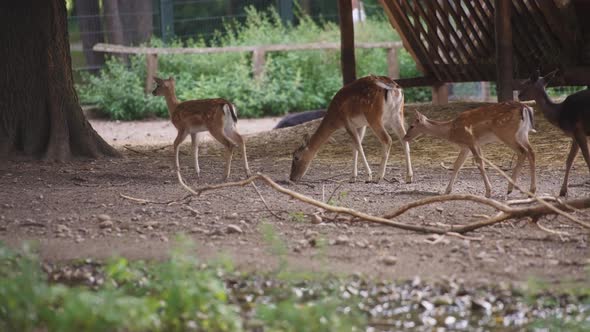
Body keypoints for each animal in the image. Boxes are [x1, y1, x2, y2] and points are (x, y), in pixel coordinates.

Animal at [404, 102, 540, 197]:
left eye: (411, 126)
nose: (405, 137)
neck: (450, 130)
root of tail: (524, 108)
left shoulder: (471, 140)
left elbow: (479, 163)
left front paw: (488, 192)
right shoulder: (467, 147)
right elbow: (457, 165)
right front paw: (447, 190)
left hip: (506, 132)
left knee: (522, 152)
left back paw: (511, 188)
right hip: (522, 134)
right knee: (531, 152)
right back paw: (530, 190)